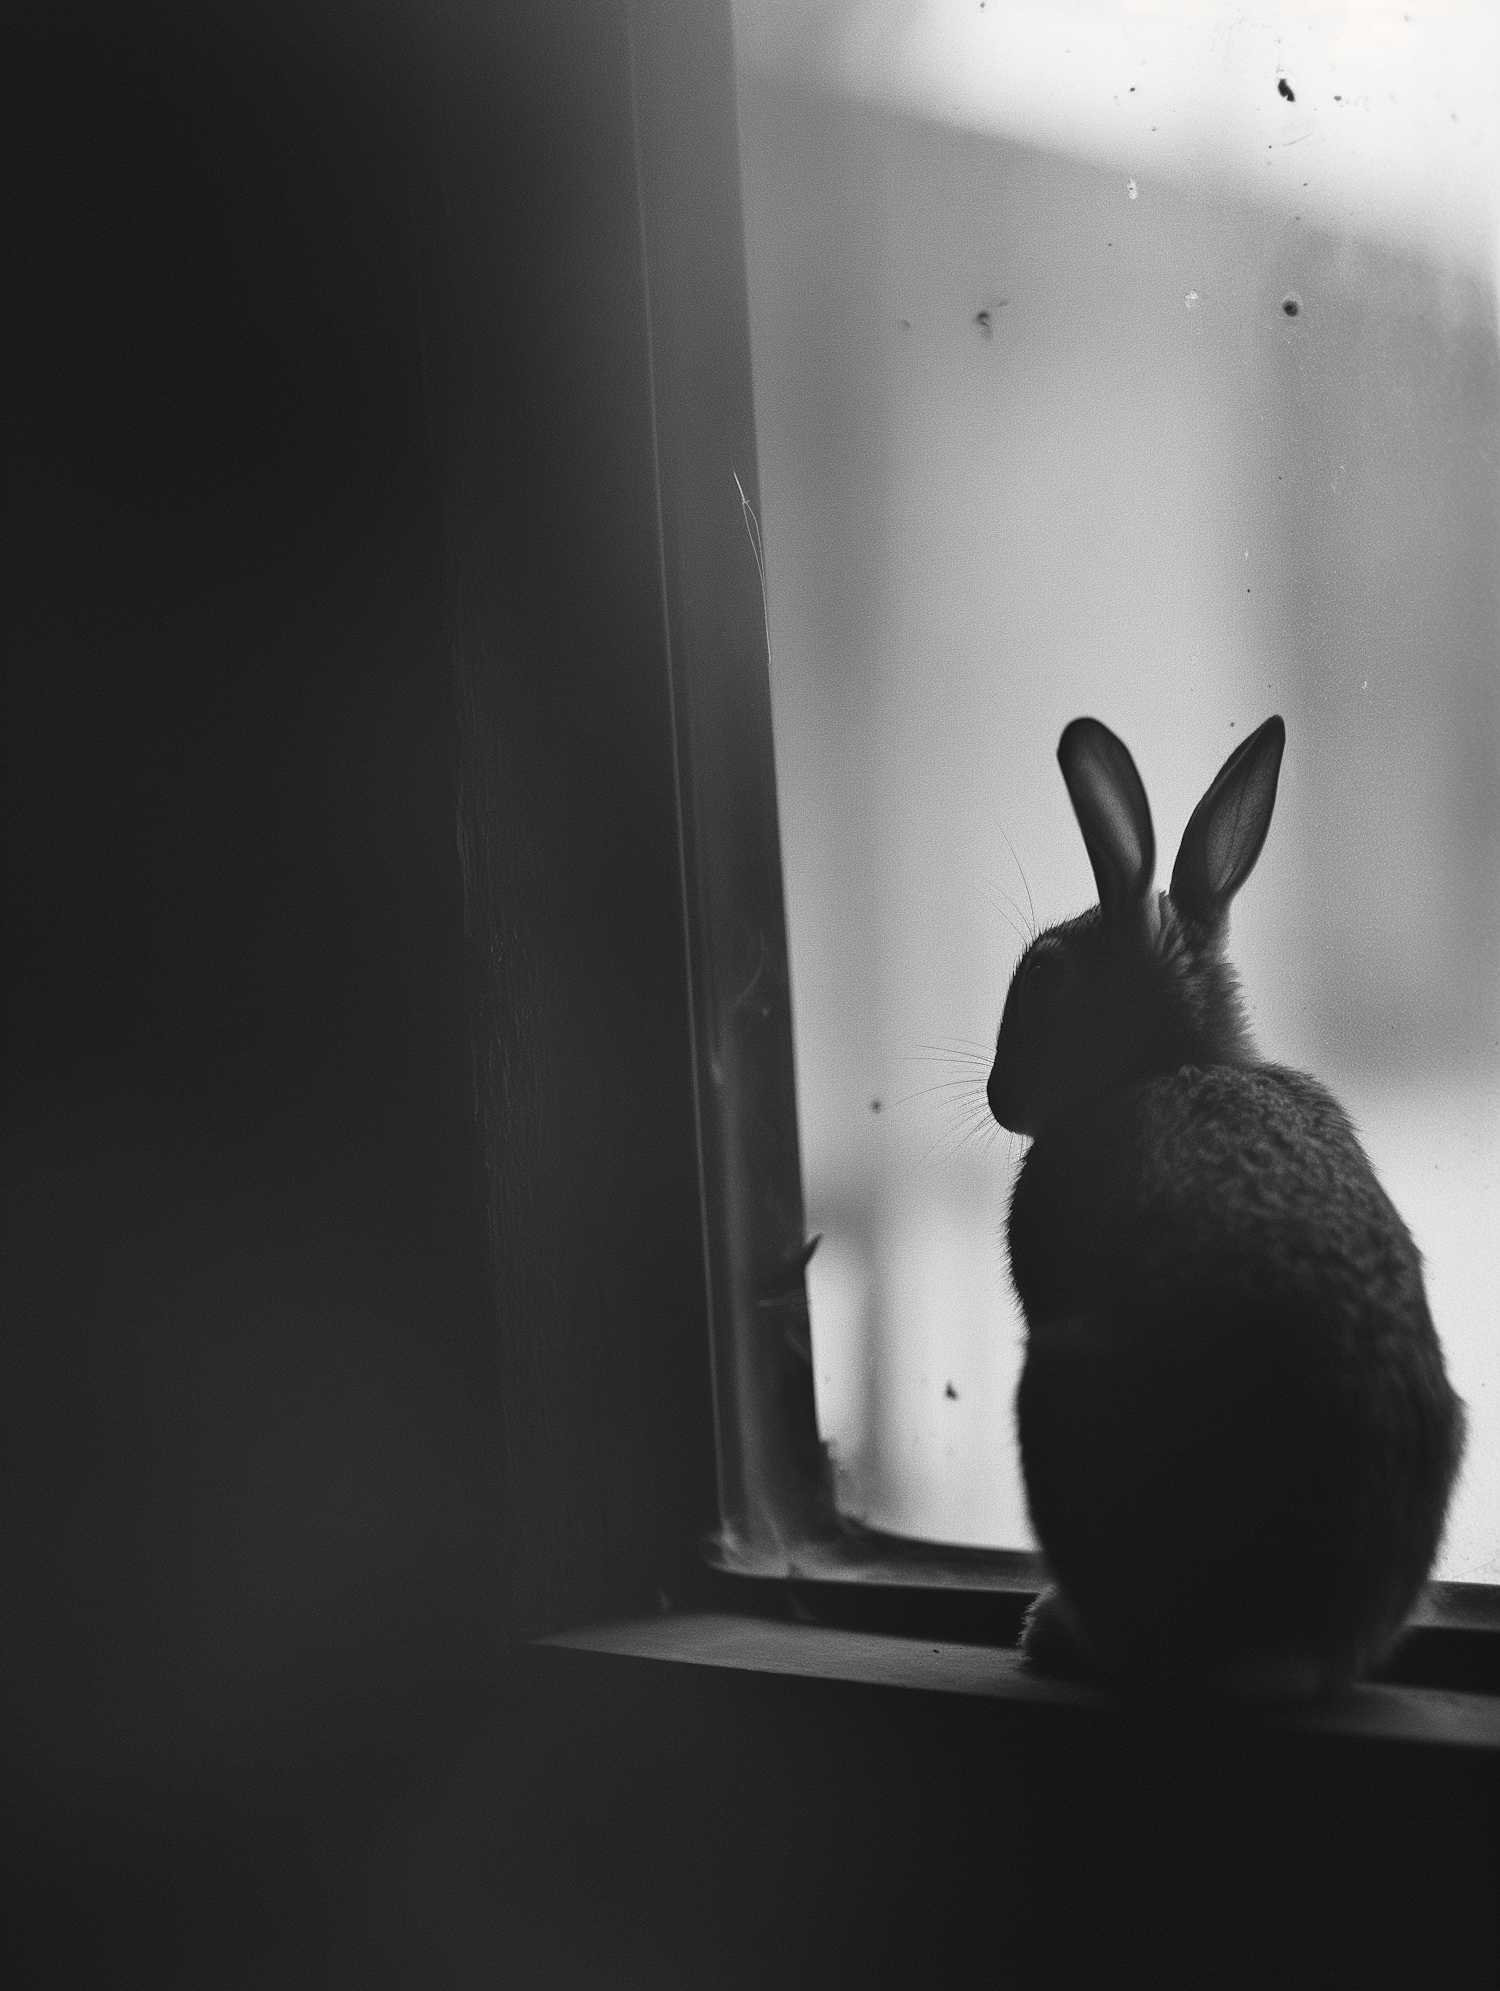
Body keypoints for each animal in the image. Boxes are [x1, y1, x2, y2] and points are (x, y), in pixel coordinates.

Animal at [984, 716, 1466, 1696]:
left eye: (1046, 981)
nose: (996, 1097)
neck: (1170, 1058)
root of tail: (1293, 1642)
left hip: (1058, 1399)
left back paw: (1056, 1633)